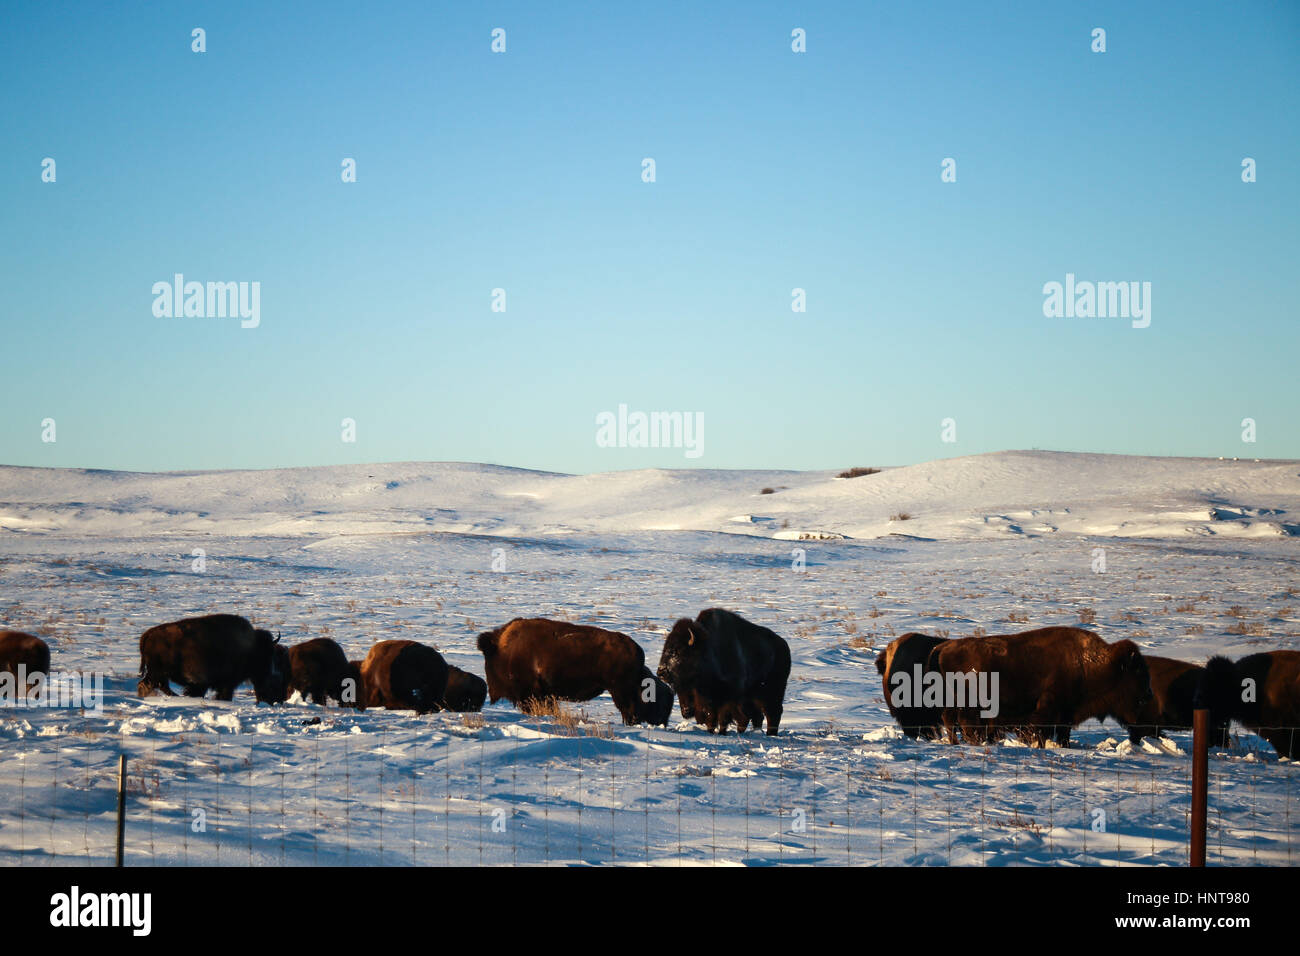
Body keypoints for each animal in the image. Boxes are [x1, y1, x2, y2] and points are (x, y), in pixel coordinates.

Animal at [137, 613, 284, 702]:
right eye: (266, 654)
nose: (267, 673)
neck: (252, 647)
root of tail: (148, 634)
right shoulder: (227, 683)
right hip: (157, 673)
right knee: (148, 685)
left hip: (159, 674)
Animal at [480, 616, 676, 728]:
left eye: (488, 660)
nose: (491, 690)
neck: (503, 649)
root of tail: (637, 651)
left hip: (618, 692)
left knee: (628, 710)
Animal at [655, 608, 785, 738]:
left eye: (678, 651)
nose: (661, 672)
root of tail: (784, 646)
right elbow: (710, 719)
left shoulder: (727, 699)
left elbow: (722, 718)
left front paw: (721, 733)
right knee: (755, 716)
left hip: (771, 694)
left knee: (772, 713)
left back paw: (771, 735)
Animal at [930, 624, 1154, 749]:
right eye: (1137, 671)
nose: (1149, 695)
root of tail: (944, 647)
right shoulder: (1049, 709)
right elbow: (1041, 732)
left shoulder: (1066, 715)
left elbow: (1062, 734)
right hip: (968, 703)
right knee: (962, 723)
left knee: (949, 719)